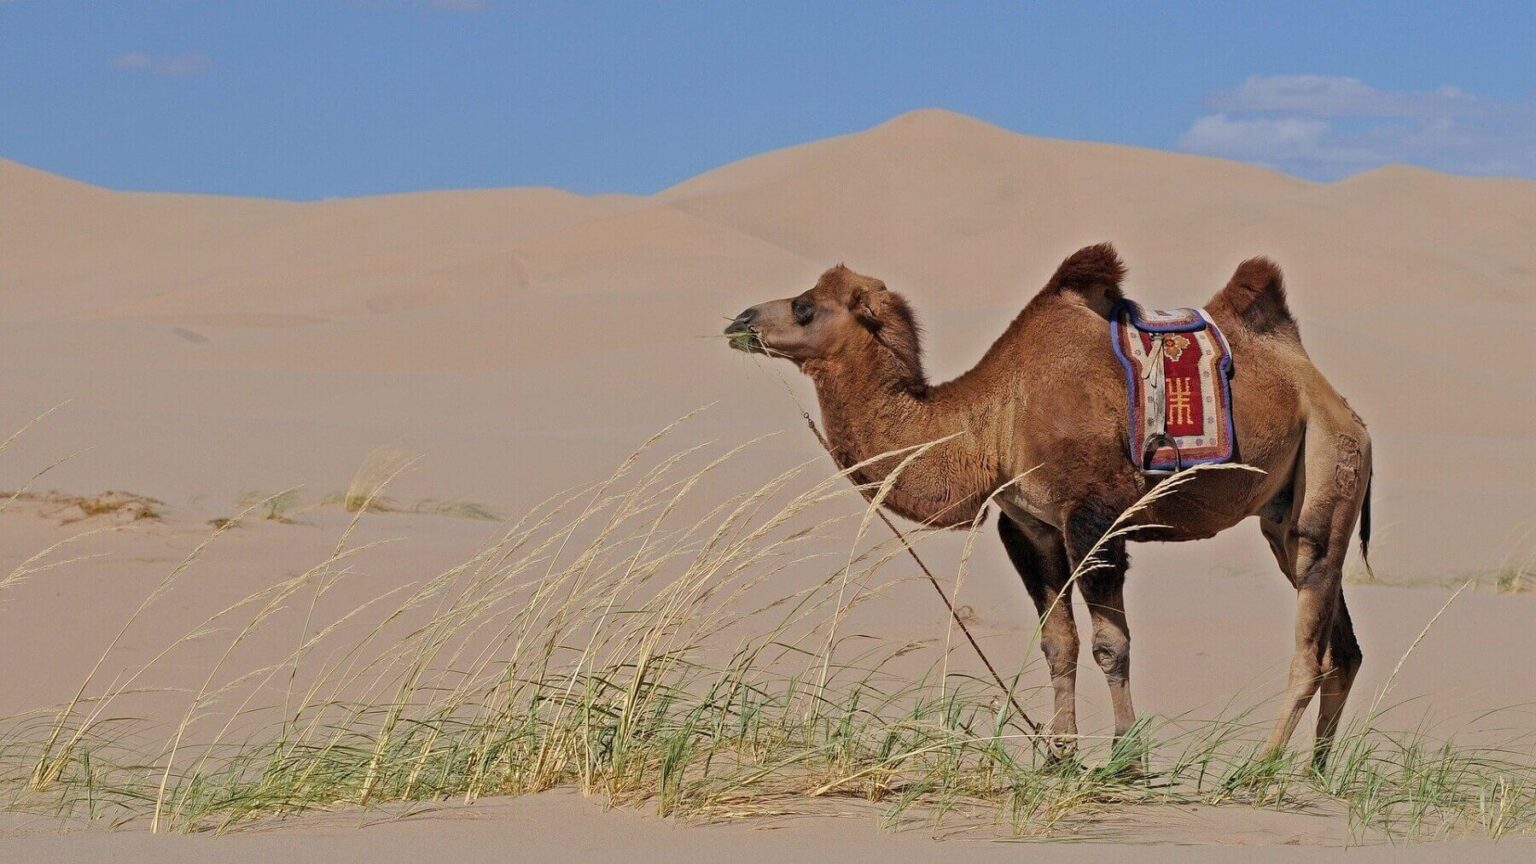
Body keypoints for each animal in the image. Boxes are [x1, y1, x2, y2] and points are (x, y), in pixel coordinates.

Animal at [724, 242, 1376, 759]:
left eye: (806, 306)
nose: (739, 319)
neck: (993, 420)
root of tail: (1336, 400)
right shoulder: (1029, 526)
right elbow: (1057, 645)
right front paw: (1058, 757)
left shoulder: (1094, 519)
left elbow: (1111, 647)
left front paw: (1125, 761)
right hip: (1285, 512)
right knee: (1342, 645)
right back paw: (1311, 775)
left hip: (1330, 463)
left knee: (1313, 637)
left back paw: (1259, 773)